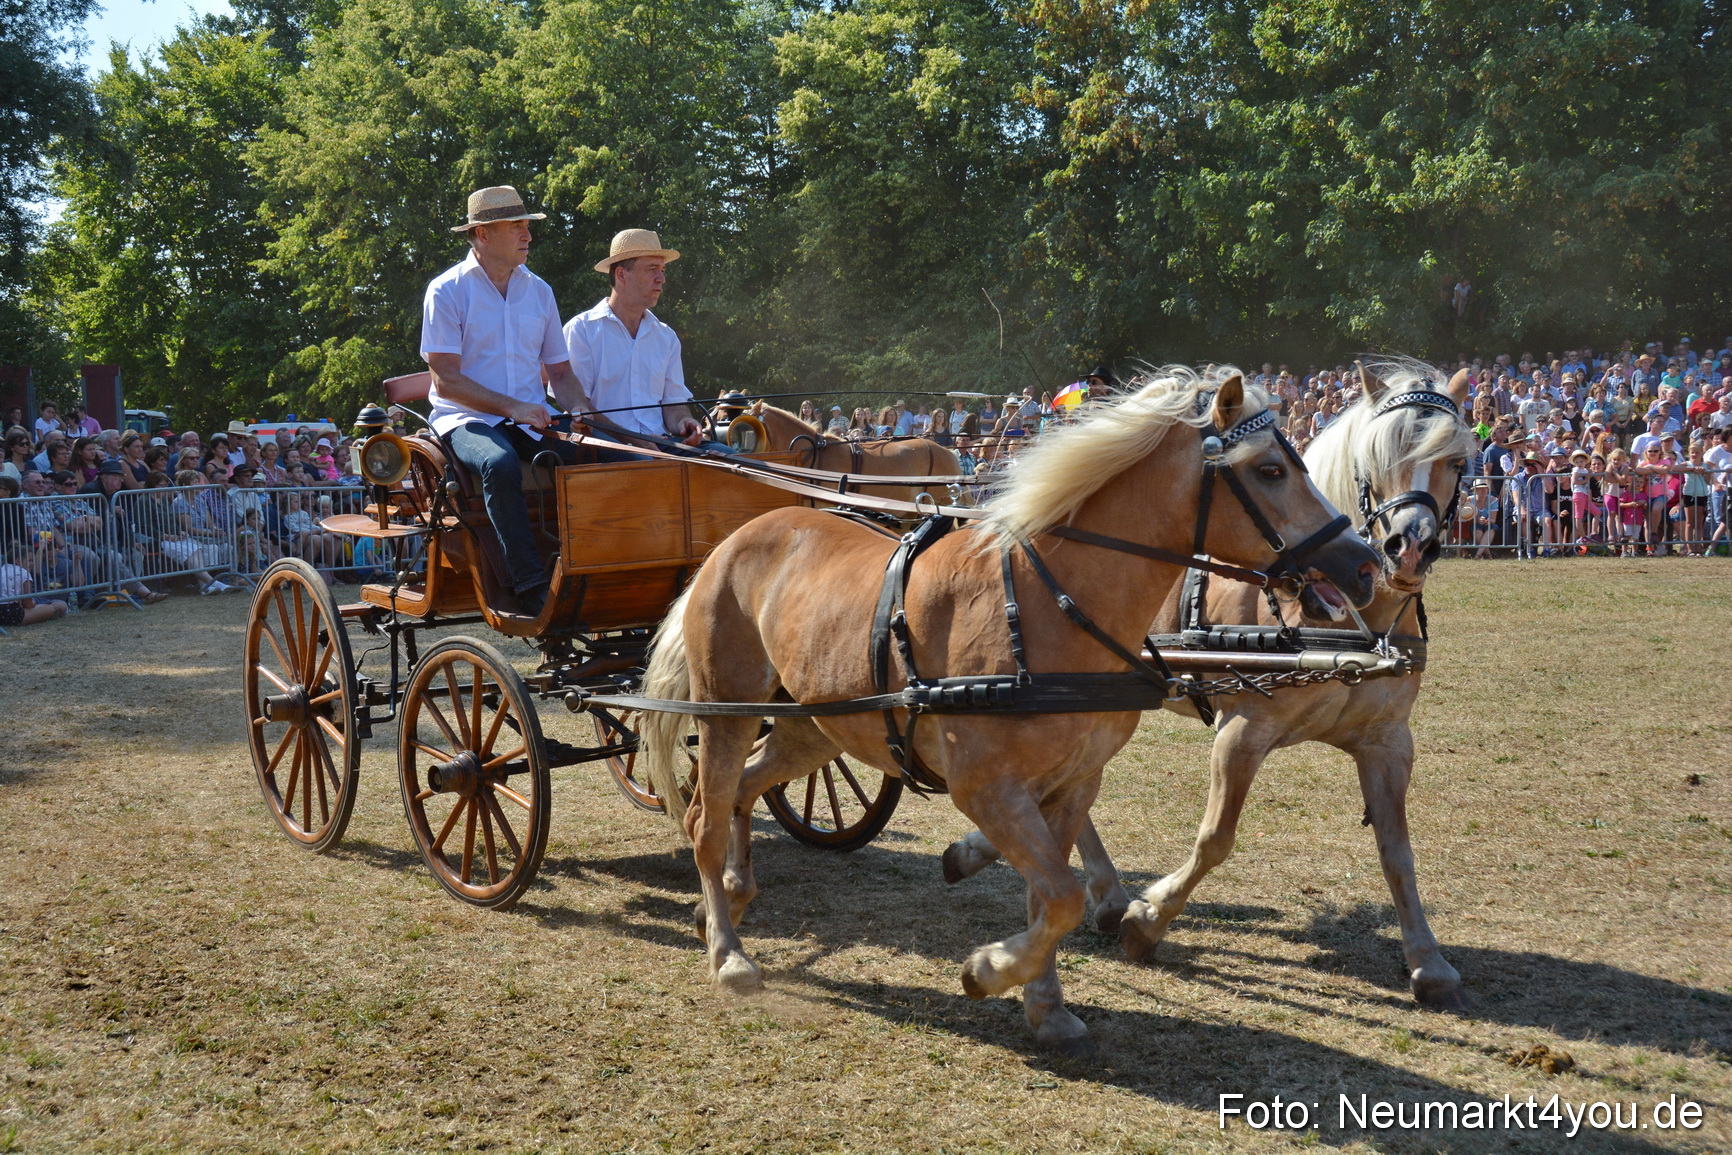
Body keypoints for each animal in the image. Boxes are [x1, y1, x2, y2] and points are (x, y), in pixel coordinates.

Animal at [941, 360, 1478, 1010]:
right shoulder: (1243, 730)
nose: (1407, 548)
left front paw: (1427, 959)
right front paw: (1148, 922)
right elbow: (1216, 838)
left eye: (1458, 461)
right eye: (1377, 452)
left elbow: (1397, 851)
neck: (1346, 629)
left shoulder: (1388, 741)